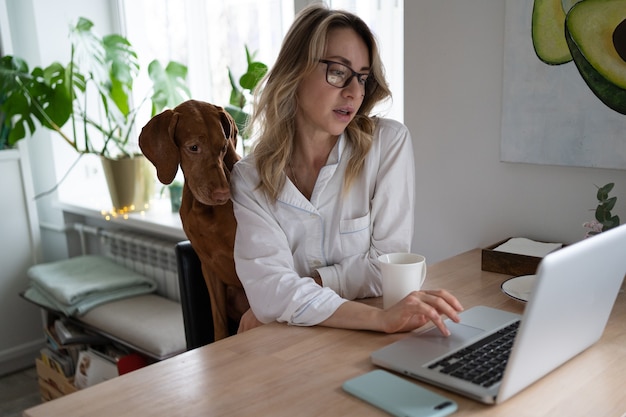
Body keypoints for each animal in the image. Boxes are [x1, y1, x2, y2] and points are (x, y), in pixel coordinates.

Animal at [139, 100, 246, 342]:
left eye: (223, 146)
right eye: (194, 147)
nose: (223, 194)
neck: (204, 210)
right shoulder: (208, 266)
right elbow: (219, 323)